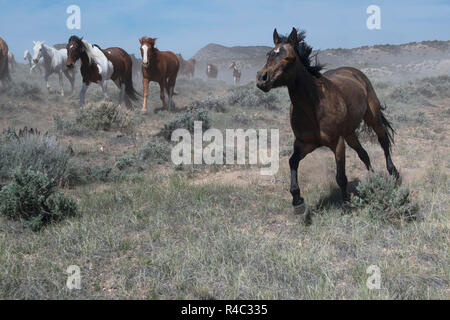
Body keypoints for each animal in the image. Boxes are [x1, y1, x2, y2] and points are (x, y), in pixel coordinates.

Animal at [255, 28, 400, 214]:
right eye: (269, 54)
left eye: (289, 58)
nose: (262, 78)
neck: (314, 106)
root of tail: (355, 72)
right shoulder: (305, 144)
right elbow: (292, 161)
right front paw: (297, 200)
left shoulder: (337, 143)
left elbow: (341, 177)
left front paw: (346, 204)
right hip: (350, 134)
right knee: (363, 154)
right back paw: (374, 180)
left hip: (372, 118)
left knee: (383, 142)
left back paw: (393, 174)